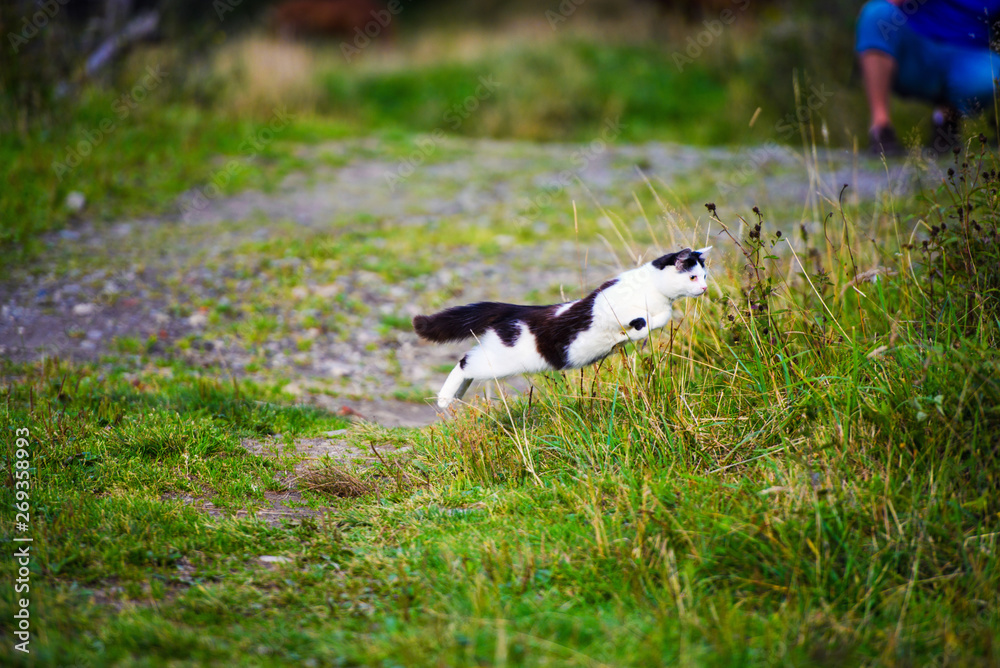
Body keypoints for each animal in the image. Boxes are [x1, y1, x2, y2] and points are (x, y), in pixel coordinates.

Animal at [412, 248, 712, 410]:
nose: (705, 288)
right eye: (692, 276)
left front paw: (637, 329)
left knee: (469, 366)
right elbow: (643, 319)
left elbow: (662, 317)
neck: (654, 291)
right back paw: (444, 398)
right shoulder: (608, 308)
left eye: (705, 275)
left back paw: (454, 398)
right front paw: (634, 327)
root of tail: (516, 309)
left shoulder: (661, 309)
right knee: (464, 362)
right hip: (501, 359)